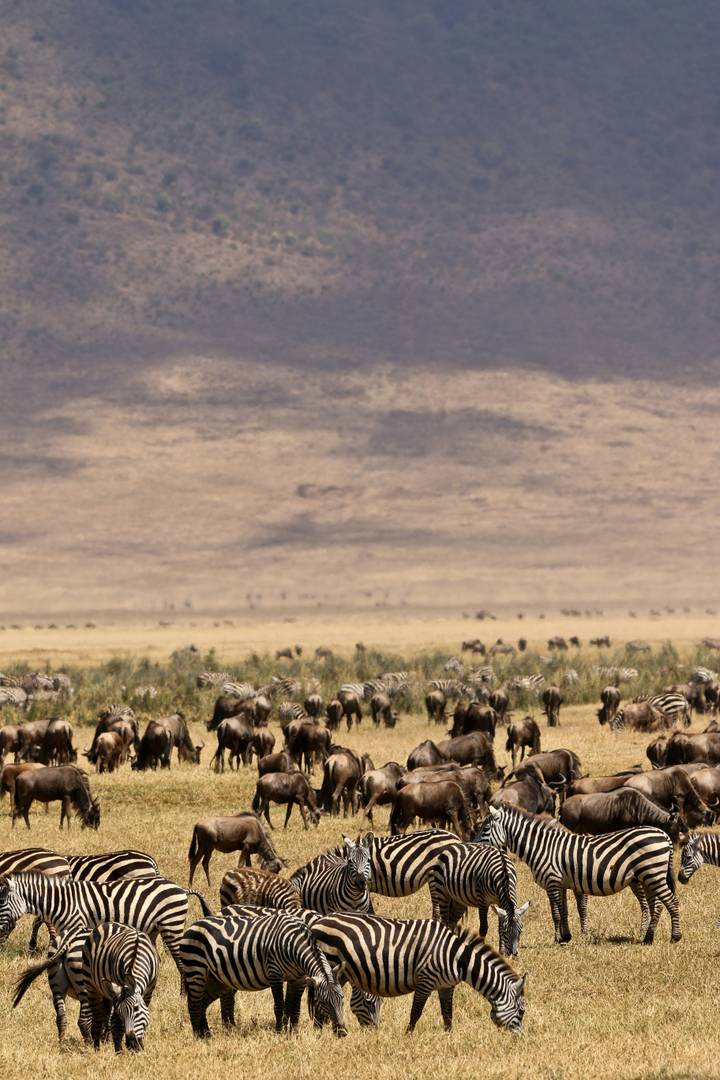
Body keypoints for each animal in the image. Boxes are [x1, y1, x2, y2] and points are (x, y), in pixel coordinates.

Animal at [0, 872, 212, 981]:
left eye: (2, 902)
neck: (63, 902)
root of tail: (180, 888)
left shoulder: (78, 927)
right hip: (153, 929)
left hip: (171, 925)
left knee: (180, 961)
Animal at [81, 922, 160, 1051]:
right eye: (121, 1013)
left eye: (136, 1008)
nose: (133, 1043)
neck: (136, 954)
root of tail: (107, 923)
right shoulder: (118, 991)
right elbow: (116, 1023)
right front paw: (119, 1051)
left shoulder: (149, 990)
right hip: (91, 985)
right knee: (97, 1017)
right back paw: (96, 1049)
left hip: (107, 990)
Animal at [179, 908, 346, 1037]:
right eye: (323, 1002)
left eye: (342, 1000)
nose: (342, 1032)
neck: (294, 943)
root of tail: (193, 925)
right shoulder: (274, 973)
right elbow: (279, 1005)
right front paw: (279, 1032)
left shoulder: (299, 978)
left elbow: (294, 1008)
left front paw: (293, 1033)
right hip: (196, 969)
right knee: (194, 1002)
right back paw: (198, 1036)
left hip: (216, 979)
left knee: (203, 1001)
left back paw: (206, 1033)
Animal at [309, 913, 526, 1033]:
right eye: (522, 1012)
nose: (520, 1040)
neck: (456, 957)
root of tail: (319, 920)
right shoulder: (425, 980)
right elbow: (416, 1012)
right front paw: (408, 1036)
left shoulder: (446, 985)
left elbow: (447, 1014)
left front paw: (449, 1036)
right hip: (329, 964)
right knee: (320, 999)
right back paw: (320, 1034)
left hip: (342, 973)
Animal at [476, 804, 680, 945]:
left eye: (485, 829)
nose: (472, 845)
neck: (541, 847)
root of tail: (664, 835)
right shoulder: (561, 883)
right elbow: (564, 911)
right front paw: (566, 936)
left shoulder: (552, 881)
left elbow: (555, 913)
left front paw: (557, 940)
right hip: (648, 877)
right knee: (656, 905)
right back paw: (648, 938)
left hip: (653, 874)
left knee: (671, 902)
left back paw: (675, 937)